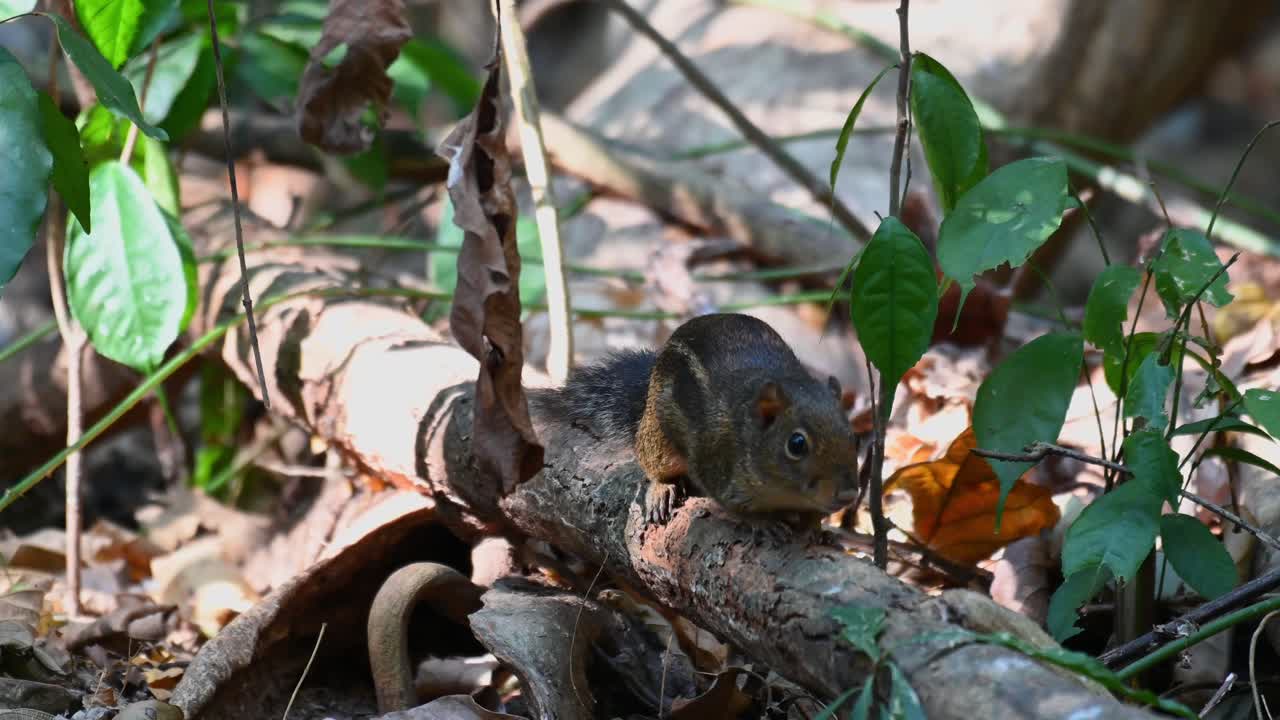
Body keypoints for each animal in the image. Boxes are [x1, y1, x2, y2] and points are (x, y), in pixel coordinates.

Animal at [529, 313, 860, 529]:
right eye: (796, 444)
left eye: (853, 436)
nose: (848, 494)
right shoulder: (717, 464)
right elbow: (733, 505)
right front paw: (762, 522)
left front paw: (815, 528)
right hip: (658, 439)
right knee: (653, 464)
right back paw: (661, 490)